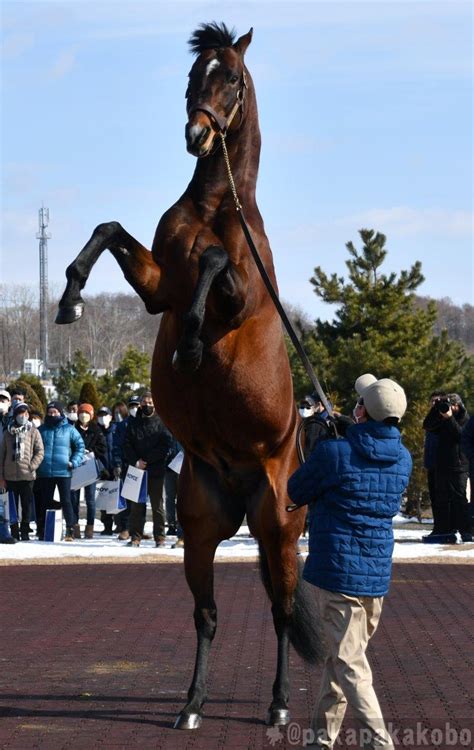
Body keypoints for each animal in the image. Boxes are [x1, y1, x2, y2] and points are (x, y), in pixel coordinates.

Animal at [54, 22, 322, 728]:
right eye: (192, 76)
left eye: (231, 77)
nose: (197, 134)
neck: (216, 205)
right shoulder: (156, 290)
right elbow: (109, 228)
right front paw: (70, 299)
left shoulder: (237, 293)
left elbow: (214, 265)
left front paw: (195, 346)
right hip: (200, 527)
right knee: (207, 614)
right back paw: (192, 705)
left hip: (278, 526)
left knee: (282, 611)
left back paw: (279, 705)